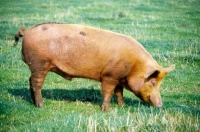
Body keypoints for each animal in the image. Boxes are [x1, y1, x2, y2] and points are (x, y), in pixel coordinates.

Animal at [13, 22, 175, 111]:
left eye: (159, 84)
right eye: (152, 82)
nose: (160, 106)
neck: (134, 65)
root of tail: (26, 31)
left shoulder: (118, 77)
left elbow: (119, 92)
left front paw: (122, 106)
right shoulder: (109, 76)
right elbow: (108, 92)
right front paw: (107, 110)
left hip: (36, 66)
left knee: (30, 81)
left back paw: (34, 103)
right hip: (39, 64)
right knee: (36, 84)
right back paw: (42, 106)